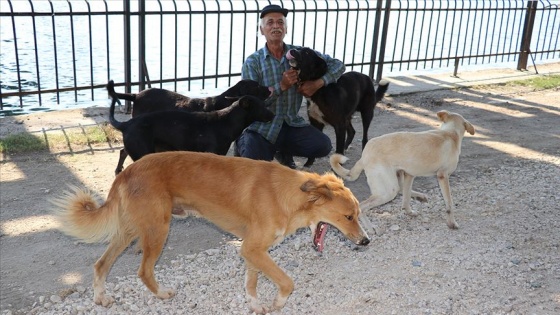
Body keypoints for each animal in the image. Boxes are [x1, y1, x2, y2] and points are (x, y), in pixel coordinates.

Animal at [50, 152, 370, 314]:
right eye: (348, 216)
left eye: (358, 215)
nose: (366, 241)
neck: (290, 196)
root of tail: (127, 171)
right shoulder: (252, 248)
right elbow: (287, 282)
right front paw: (278, 303)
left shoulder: (253, 250)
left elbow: (252, 282)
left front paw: (256, 305)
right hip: (157, 229)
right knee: (143, 271)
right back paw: (162, 294)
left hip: (130, 230)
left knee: (101, 263)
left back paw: (101, 299)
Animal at [330, 111, 474, 230]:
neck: (450, 132)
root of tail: (364, 155)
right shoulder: (443, 176)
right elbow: (449, 203)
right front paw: (452, 223)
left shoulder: (409, 174)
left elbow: (406, 197)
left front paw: (409, 210)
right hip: (388, 191)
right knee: (362, 206)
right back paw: (370, 229)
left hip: (395, 178)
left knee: (401, 190)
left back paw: (419, 197)